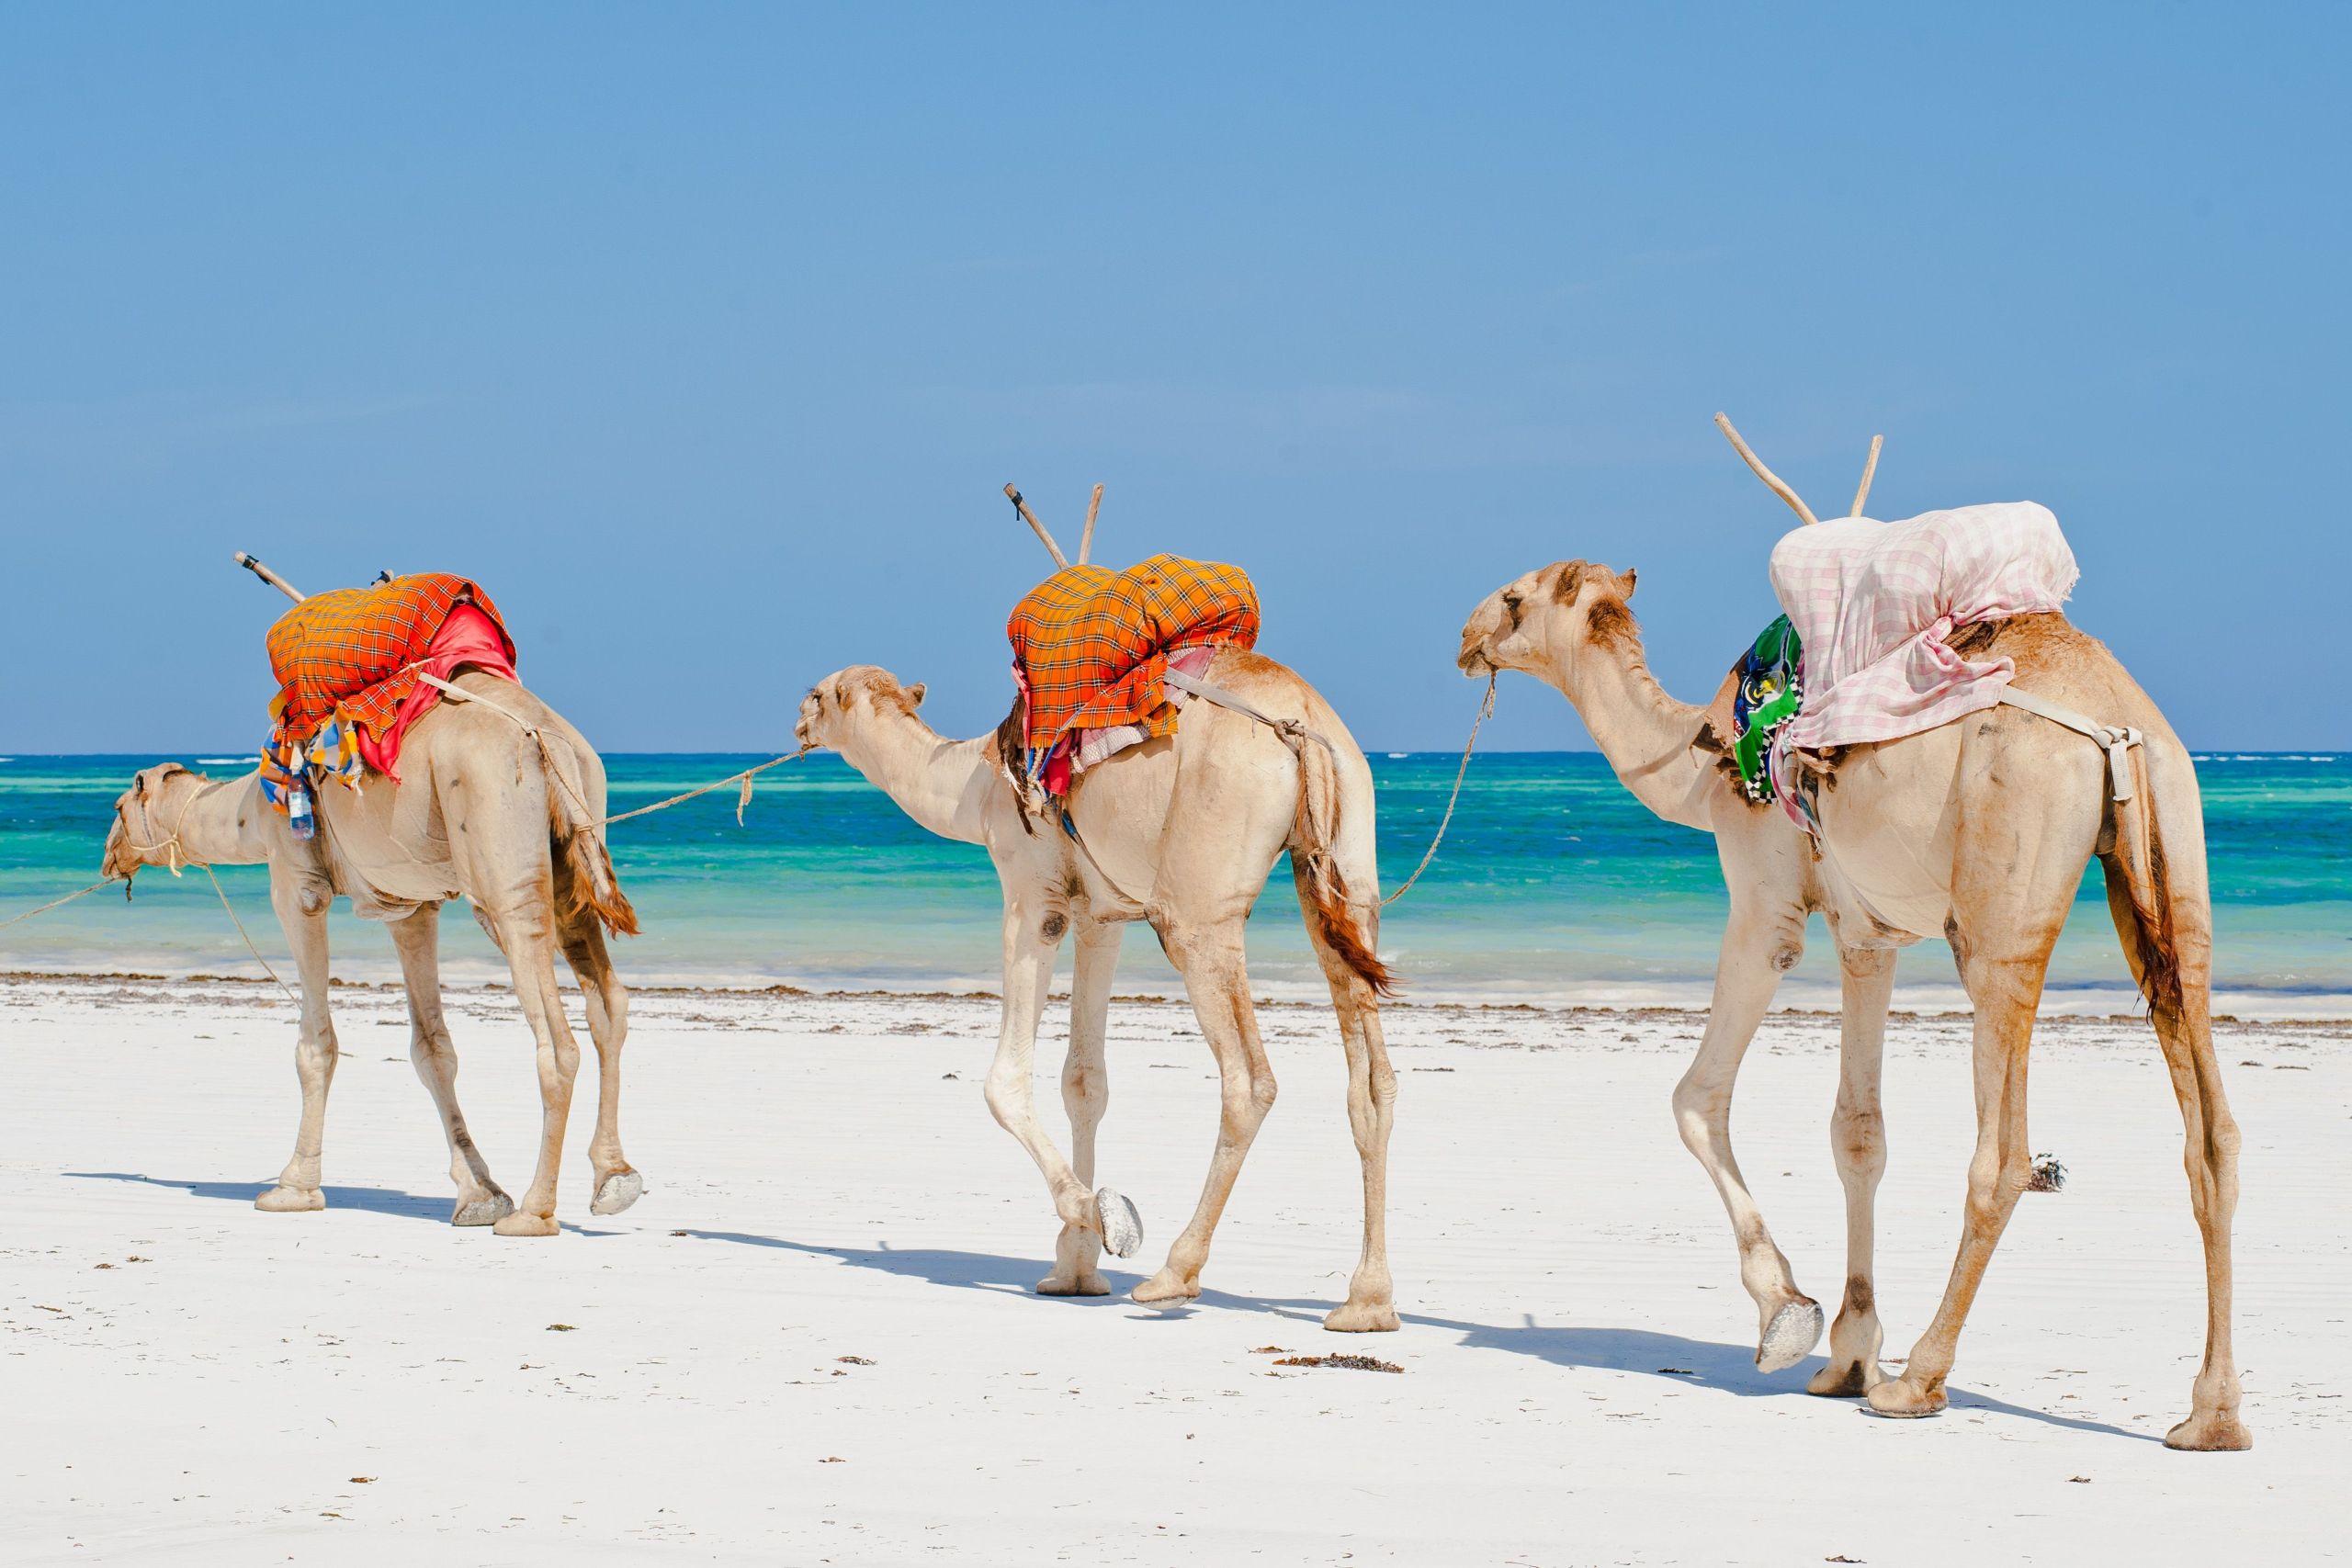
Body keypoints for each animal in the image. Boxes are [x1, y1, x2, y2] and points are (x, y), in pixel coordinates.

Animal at [98, 672, 645, 1237]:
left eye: (117, 810)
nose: (110, 856)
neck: (250, 810)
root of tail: (545, 737)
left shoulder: (296, 884)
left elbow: (315, 1045)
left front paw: (293, 1187)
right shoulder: (409, 907)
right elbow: (432, 1049)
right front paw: (479, 1195)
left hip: (501, 856)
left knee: (555, 1039)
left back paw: (535, 1210)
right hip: (573, 846)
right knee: (607, 1004)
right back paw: (614, 1180)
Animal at [792, 646, 1401, 1331]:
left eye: (818, 694)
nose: (797, 723)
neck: (976, 782)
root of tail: (1301, 726)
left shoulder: (1036, 896)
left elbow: (1005, 1082)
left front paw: (1104, 1218)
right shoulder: (1100, 916)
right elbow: (1085, 1083)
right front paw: (1074, 1271)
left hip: (1198, 907)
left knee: (1249, 1080)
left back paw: (1173, 1273)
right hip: (1346, 869)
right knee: (1371, 1081)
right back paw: (1366, 1302)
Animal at [1456, 483, 2247, 1450]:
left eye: (1515, 596)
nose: (1465, 635)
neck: (1699, 760)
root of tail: (2118, 724)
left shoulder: (1767, 904)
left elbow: (1696, 1098)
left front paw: (1787, 1318)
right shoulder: (1867, 936)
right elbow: (1858, 1133)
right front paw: (1848, 1351)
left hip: (2003, 907)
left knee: (2005, 1150)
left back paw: (1921, 1380)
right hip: (2174, 860)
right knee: (2210, 1132)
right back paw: (2211, 1414)